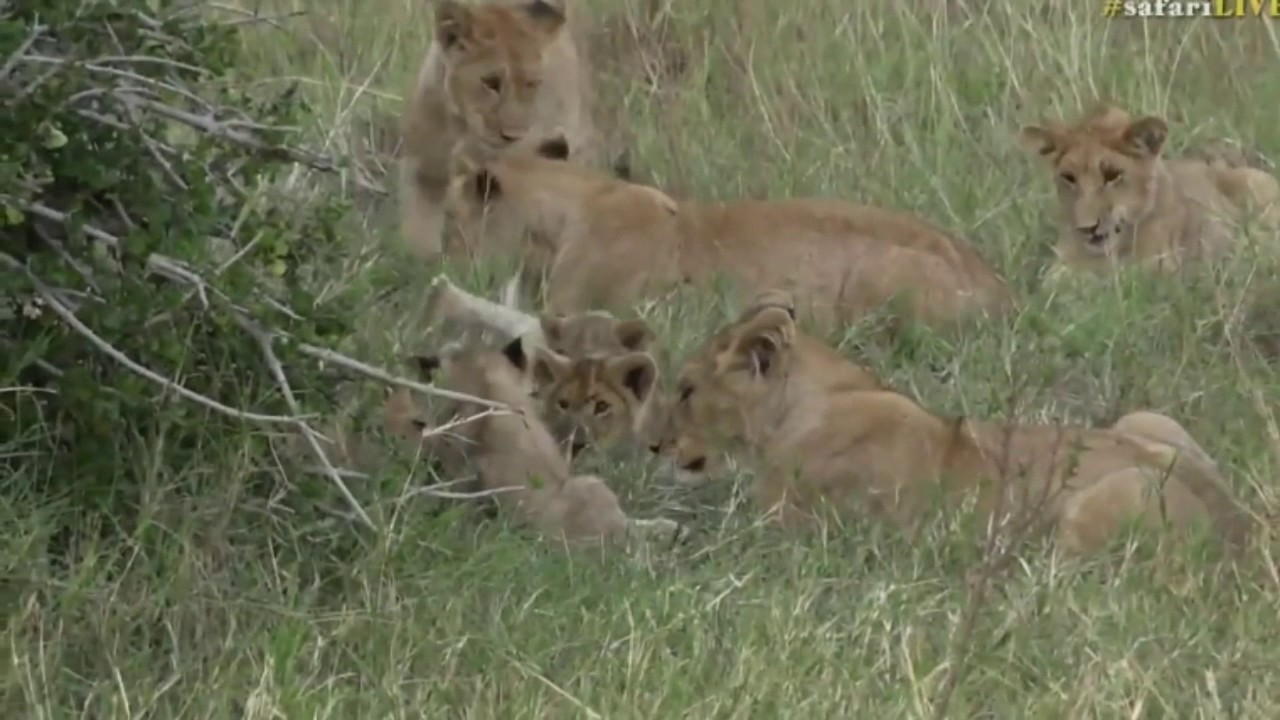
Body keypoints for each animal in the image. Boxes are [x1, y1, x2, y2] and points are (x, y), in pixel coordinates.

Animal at [398, 0, 616, 261]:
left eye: (532, 83)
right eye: (491, 82)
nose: (513, 135)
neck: (465, 131)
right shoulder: (426, 169)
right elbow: (421, 228)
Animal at [657, 290, 1255, 556]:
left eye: (686, 390)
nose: (655, 447)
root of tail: (1246, 527)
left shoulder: (786, 527)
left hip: (1099, 503)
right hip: (1150, 419)